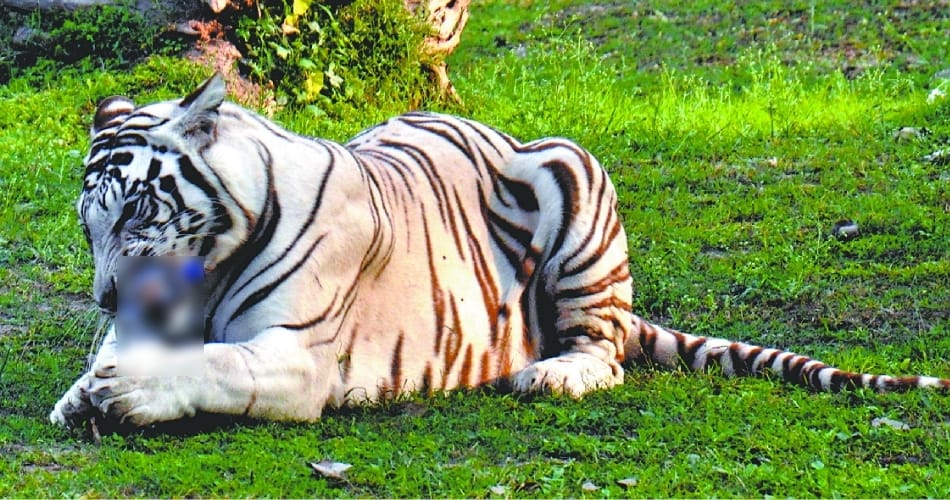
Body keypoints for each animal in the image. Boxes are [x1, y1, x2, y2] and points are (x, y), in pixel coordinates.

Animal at [50, 74, 949, 429]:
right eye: (87, 227)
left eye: (136, 210)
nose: (105, 297)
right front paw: (85, 388)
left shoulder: (296, 358)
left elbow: (216, 363)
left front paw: (122, 390)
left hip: (575, 175)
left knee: (606, 353)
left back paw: (551, 373)